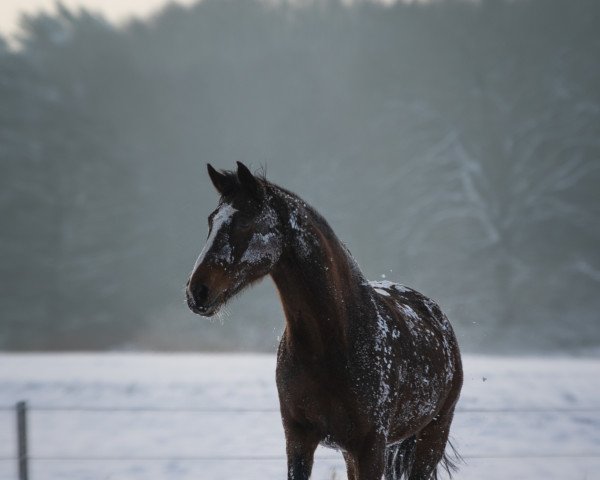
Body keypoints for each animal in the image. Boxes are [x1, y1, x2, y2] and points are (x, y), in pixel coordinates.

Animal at [185, 162, 462, 480]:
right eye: (211, 221)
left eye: (245, 222)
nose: (197, 291)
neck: (334, 341)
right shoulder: (299, 439)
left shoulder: (372, 447)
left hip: (431, 437)